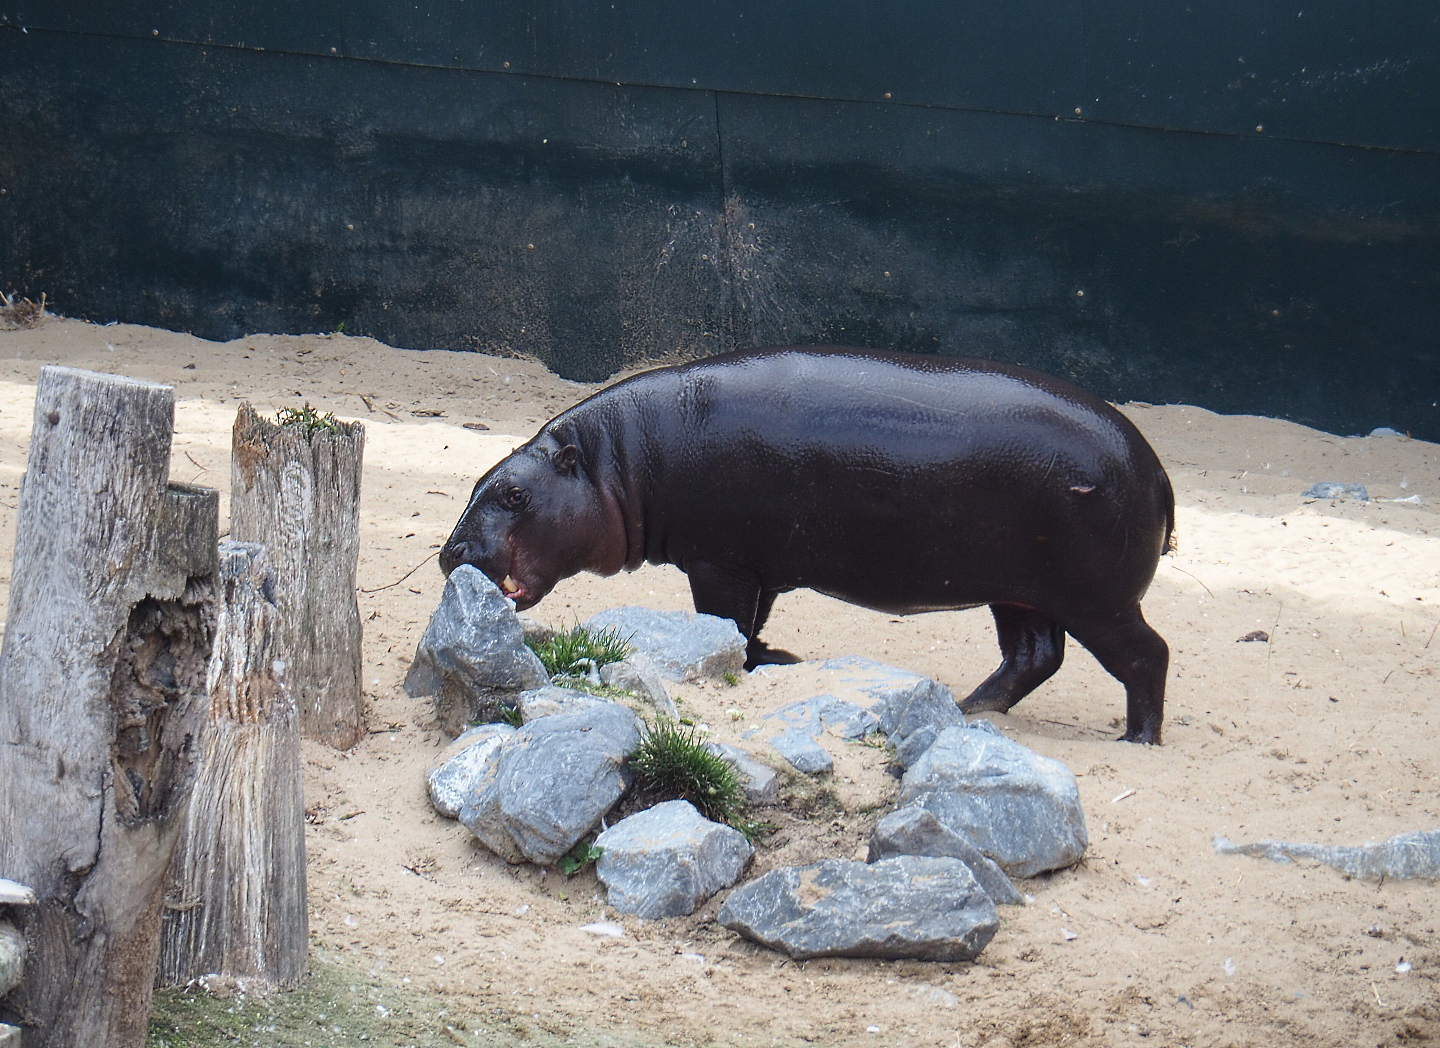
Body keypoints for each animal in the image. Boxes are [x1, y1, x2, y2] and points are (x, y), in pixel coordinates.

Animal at [441, 347, 1175, 743]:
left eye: (512, 495)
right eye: (476, 482)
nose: (450, 554)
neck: (615, 463)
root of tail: (1158, 471)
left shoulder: (720, 562)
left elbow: (726, 623)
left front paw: (755, 663)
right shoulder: (759, 566)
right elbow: (751, 628)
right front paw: (778, 659)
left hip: (1096, 600)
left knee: (1147, 655)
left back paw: (1136, 738)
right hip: (1022, 591)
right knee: (1033, 656)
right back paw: (969, 710)